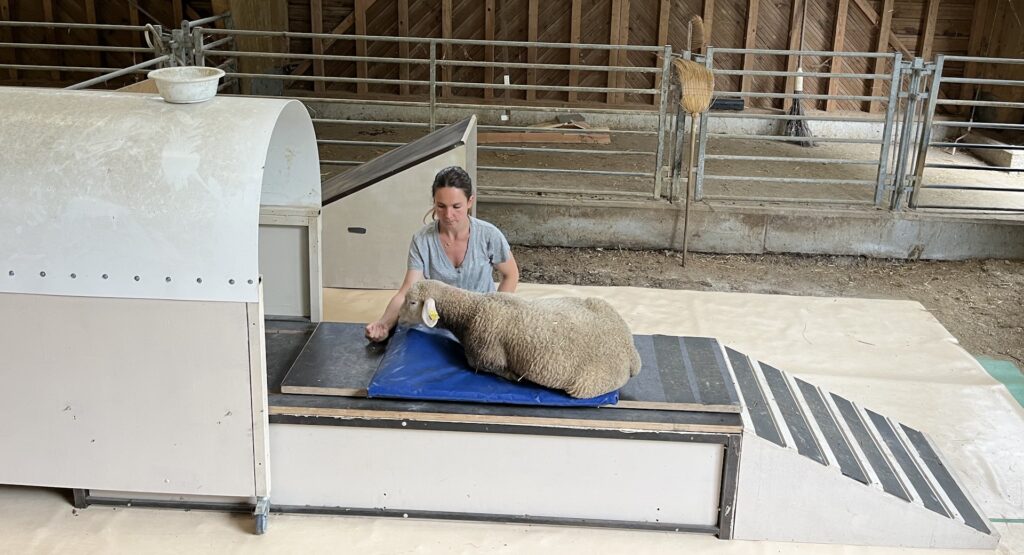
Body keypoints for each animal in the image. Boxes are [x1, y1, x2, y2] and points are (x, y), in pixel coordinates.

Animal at [397, 282, 638, 401]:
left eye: (412, 302)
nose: (398, 320)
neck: (472, 310)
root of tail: (630, 352)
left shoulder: (484, 358)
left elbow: (494, 368)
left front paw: (513, 376)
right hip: (599, 303)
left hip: (586, 385)